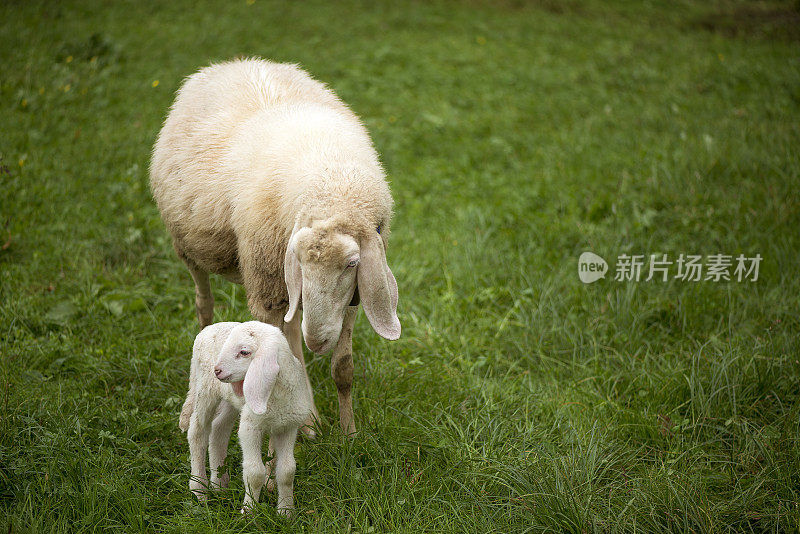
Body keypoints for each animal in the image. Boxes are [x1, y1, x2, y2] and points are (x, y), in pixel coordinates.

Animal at [150, 56, 400, 438]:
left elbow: (342, 367)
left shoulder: (352, 298)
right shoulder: (268, 286)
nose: (317, 342)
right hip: (189, 248)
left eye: (352, 263)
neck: (331, 181)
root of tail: (233, 63)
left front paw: (349, 432)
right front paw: (309, 425)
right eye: (299, 260)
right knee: (204, 305)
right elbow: (288, 356)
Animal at [178, 322, 312, 516]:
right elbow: (255, 472)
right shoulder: (251, 427)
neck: (276, 396)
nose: (217, 371)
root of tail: (206, 329)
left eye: (244, 352)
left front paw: (286, 512)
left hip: (231, 397)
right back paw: (199, 490)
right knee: (197, 431)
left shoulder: (287, 426)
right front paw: (249, 512)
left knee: (218, 428)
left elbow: (287, 471)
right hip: (205, 389)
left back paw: (219, 485)